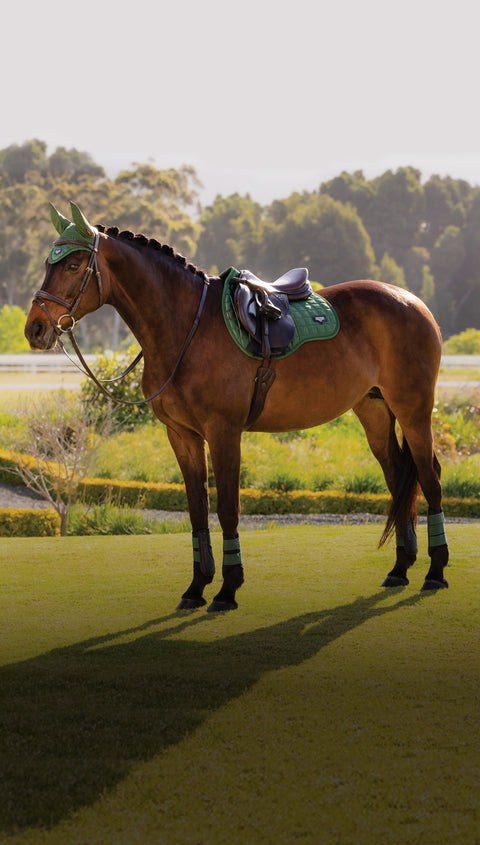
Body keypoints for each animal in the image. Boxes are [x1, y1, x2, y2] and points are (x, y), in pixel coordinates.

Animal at [25, 202, 449, 611]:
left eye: (74, 265)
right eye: (48, 264)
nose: (35, 329)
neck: (187, 328)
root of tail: (414, 302)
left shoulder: (223, 432)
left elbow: (228, 508)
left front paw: (228, 590)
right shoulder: (182, 436)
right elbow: (197, 510)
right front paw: (196, 587)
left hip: (414, 411)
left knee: (429, 477)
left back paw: (436, 571)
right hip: (374, 410)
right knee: (399, 477)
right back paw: (400, 567)